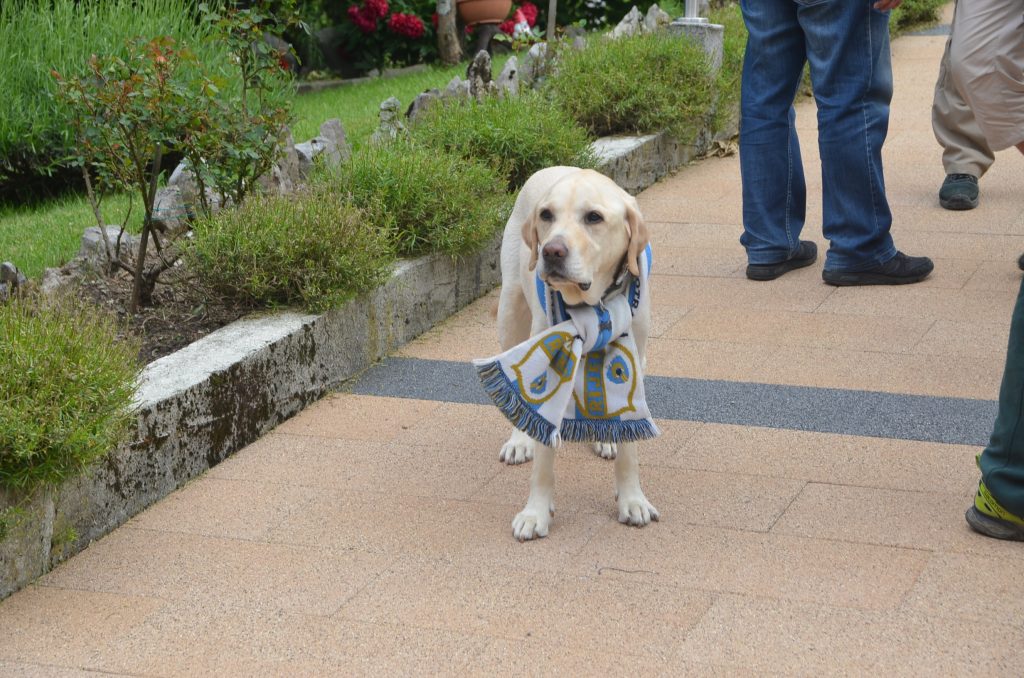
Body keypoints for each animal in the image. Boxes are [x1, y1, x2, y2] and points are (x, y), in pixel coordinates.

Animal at [493, 166, 655, 544]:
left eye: (594, 217)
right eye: (546, 215)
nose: (552, 251)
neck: (592, 305)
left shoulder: (632, 357)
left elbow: (630, 445)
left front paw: (632, 499)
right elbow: (543, 455)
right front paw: (535, 513)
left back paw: (605, 439)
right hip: (510, 313)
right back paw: (519, 440)